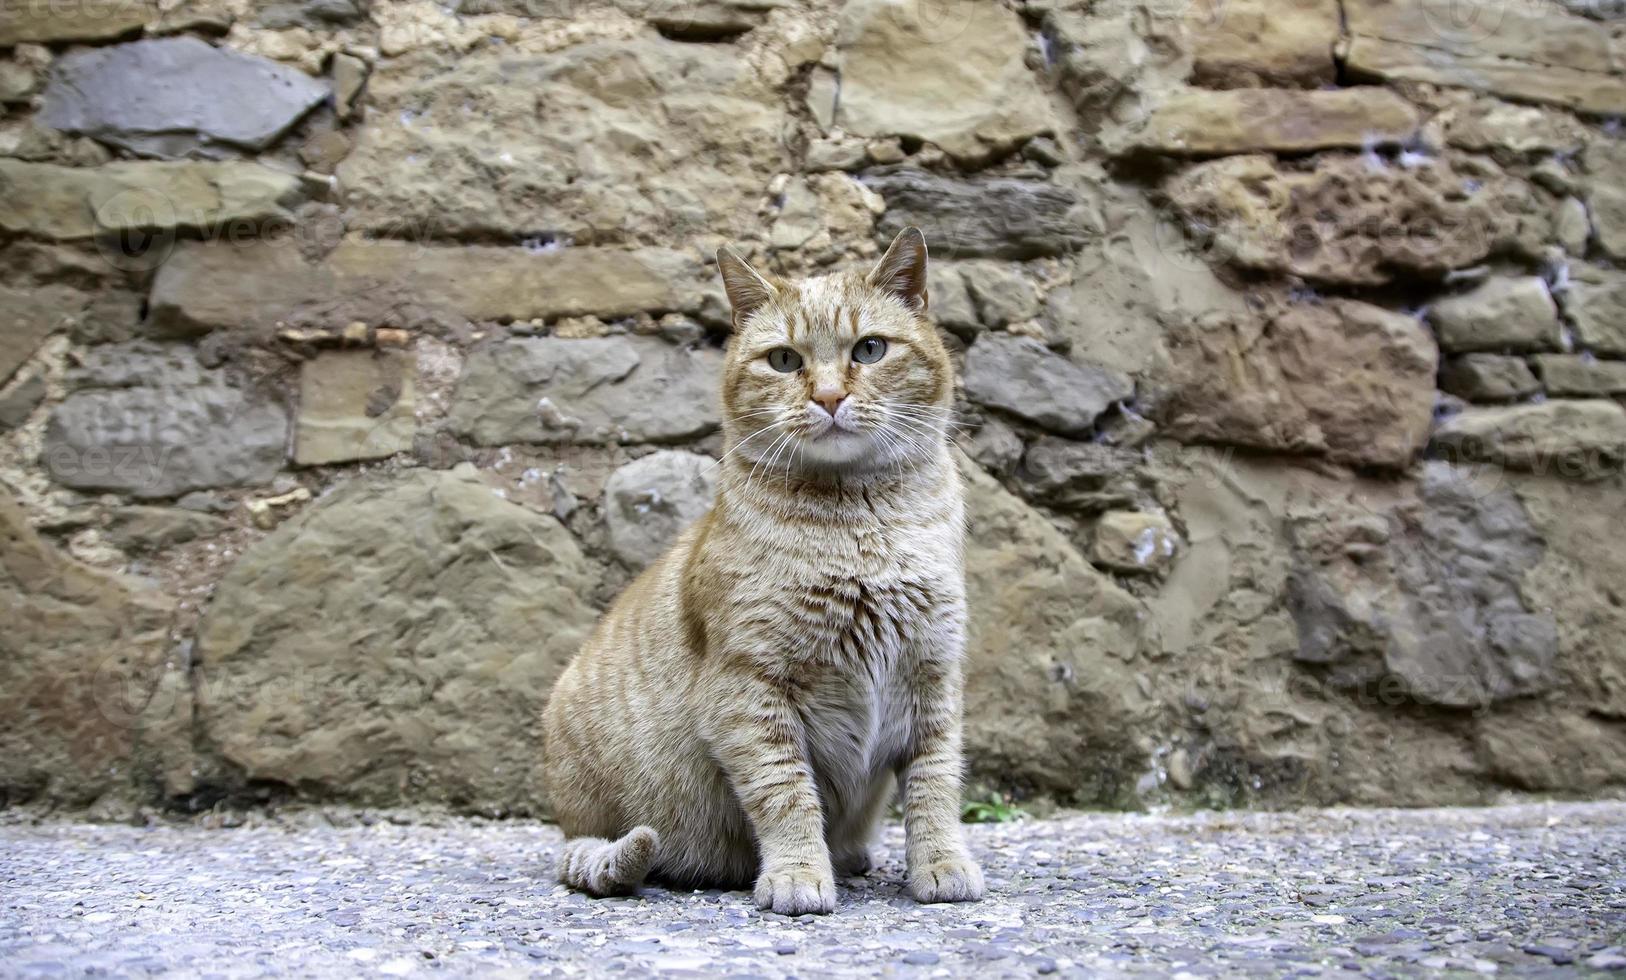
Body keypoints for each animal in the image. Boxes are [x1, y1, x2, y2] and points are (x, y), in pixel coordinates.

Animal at [539, 227, 982, 910]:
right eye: (784, 361)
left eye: (870, 349)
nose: (828, 397)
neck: (860, 525)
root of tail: (569, 826)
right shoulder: (749, 690)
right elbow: (786, 795)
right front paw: (798, 874)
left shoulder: (933, 676)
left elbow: (935, 788)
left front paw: (940, 865)